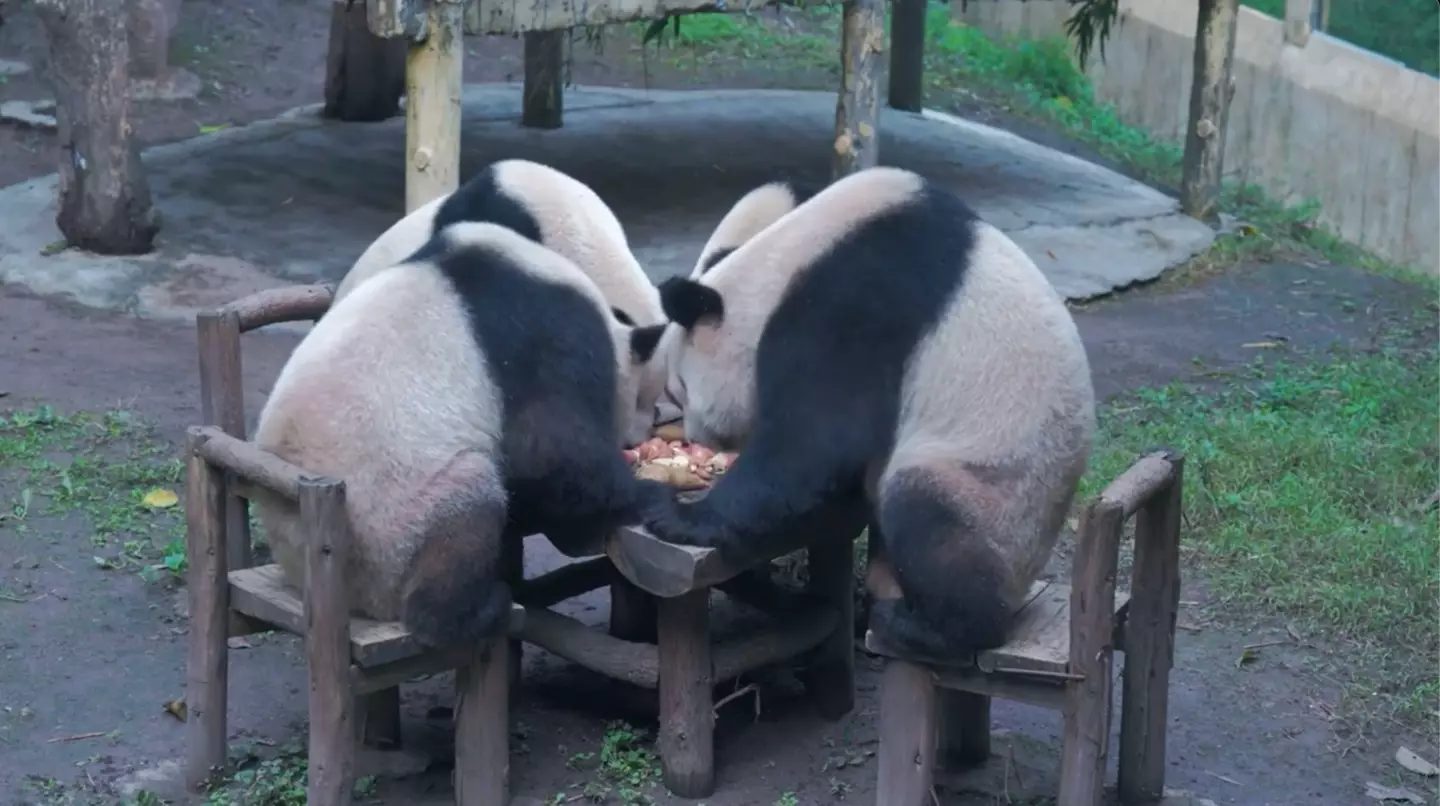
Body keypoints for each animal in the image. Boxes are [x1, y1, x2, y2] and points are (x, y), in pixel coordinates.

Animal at [254, 221, 668, 647]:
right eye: (645, 400)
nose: (636, 441)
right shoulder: (543, 336)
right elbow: (552, 454)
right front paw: (648, 496)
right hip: (390, 525)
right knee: (467, 500)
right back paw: (474, 610)